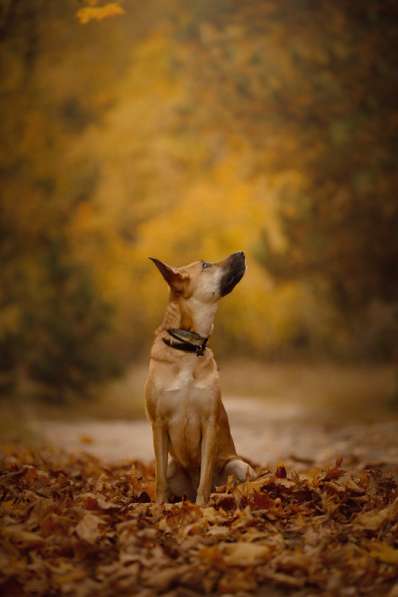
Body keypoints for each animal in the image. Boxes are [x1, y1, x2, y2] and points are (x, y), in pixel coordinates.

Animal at [144, 250, 255, 502]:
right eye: (205, 265)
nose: (241, 252)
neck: (187, 350)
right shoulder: (158, 424)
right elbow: (159, 480)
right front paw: (159, 506)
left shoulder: (209, 423)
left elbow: (205, 478)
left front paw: (202, 507)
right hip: (173, 467)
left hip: (238, 465)